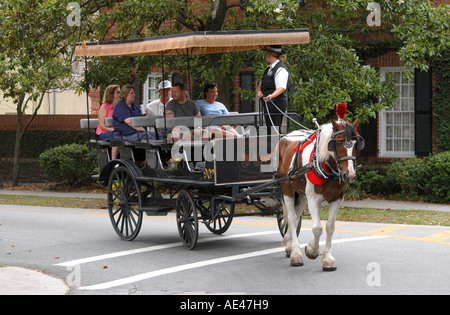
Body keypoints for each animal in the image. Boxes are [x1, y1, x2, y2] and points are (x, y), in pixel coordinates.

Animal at [278, 118, 366, 272]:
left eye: (356, 144)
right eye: (337, 143)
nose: (349, 175)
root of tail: (285, 137)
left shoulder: (337, 199)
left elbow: (330, 226)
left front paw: (327, 259)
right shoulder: (313, 198)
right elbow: (317, 228)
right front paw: (311, 251)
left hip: (301, 194)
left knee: (296, 215)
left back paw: (289, 246)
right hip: (287, 189)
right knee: (293, 219)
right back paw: (296, 253)